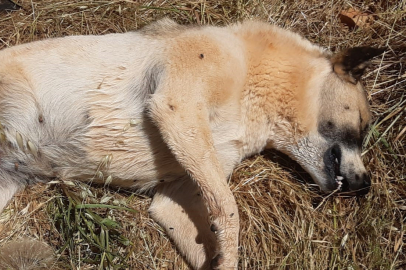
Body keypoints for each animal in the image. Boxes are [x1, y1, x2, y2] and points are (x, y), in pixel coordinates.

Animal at [0, 17, 382, 268]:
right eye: (363, 127)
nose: (366, 187)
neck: (253, 82)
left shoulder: (172, 200)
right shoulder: (177, 107)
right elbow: (230, 210)